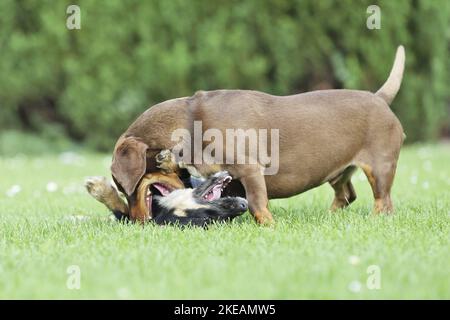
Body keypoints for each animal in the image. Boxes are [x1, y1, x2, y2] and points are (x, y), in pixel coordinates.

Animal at [110, 46, 406, 224]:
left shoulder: (250, 169)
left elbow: (256, 204)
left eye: (123, 187)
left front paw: (270, 226)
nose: (131, 219)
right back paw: (329, 217)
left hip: (380, 167)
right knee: (346, 194)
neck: (191, 120)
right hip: (339, 172)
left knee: (383, 201)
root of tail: (379, 98)